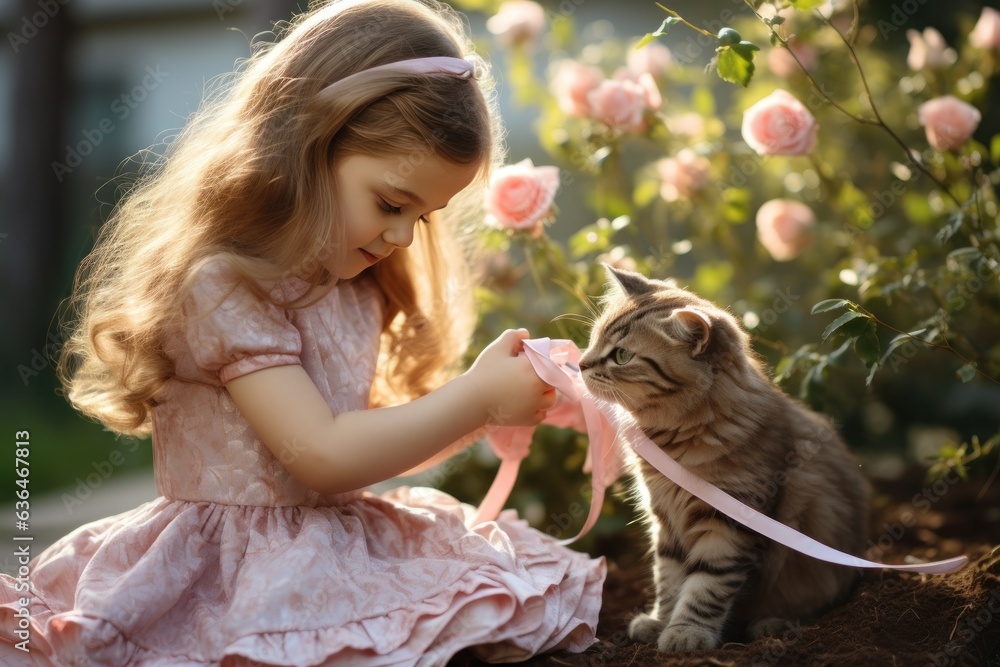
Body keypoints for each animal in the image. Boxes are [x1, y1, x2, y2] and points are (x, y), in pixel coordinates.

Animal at [584, 266, 872, 652]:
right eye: (593, 339)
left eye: (621, 356)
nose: (581, 364)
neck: (677, 438)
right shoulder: (666, 519)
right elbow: (669, 577)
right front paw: (661, 621)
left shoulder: (729, 524)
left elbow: (706, 585)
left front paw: (686, 631)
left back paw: (773, 623)